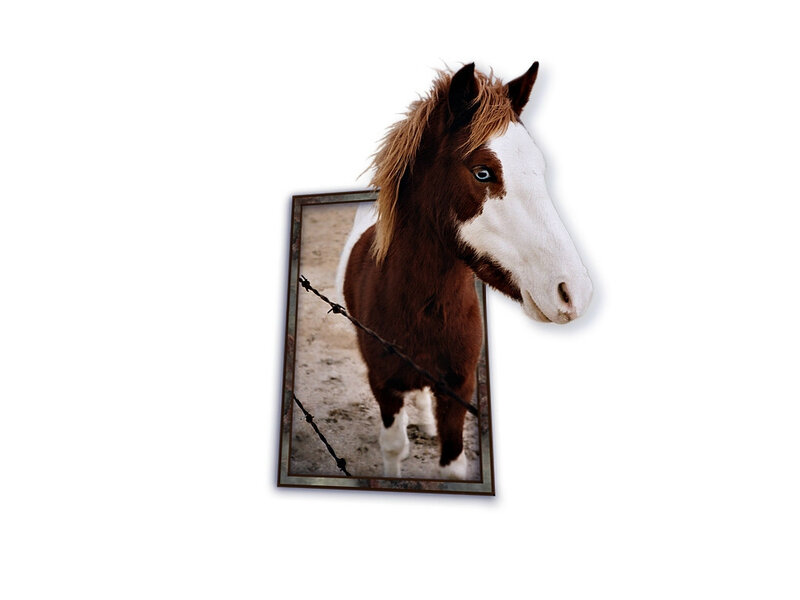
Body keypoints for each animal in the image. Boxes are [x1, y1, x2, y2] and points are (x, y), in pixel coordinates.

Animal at [337, 61, 593, 479]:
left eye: (539, 169)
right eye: (483, 173)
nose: (575, 292)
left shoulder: (459, 388)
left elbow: (453, 465)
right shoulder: (383, 384)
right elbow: (393, 448)